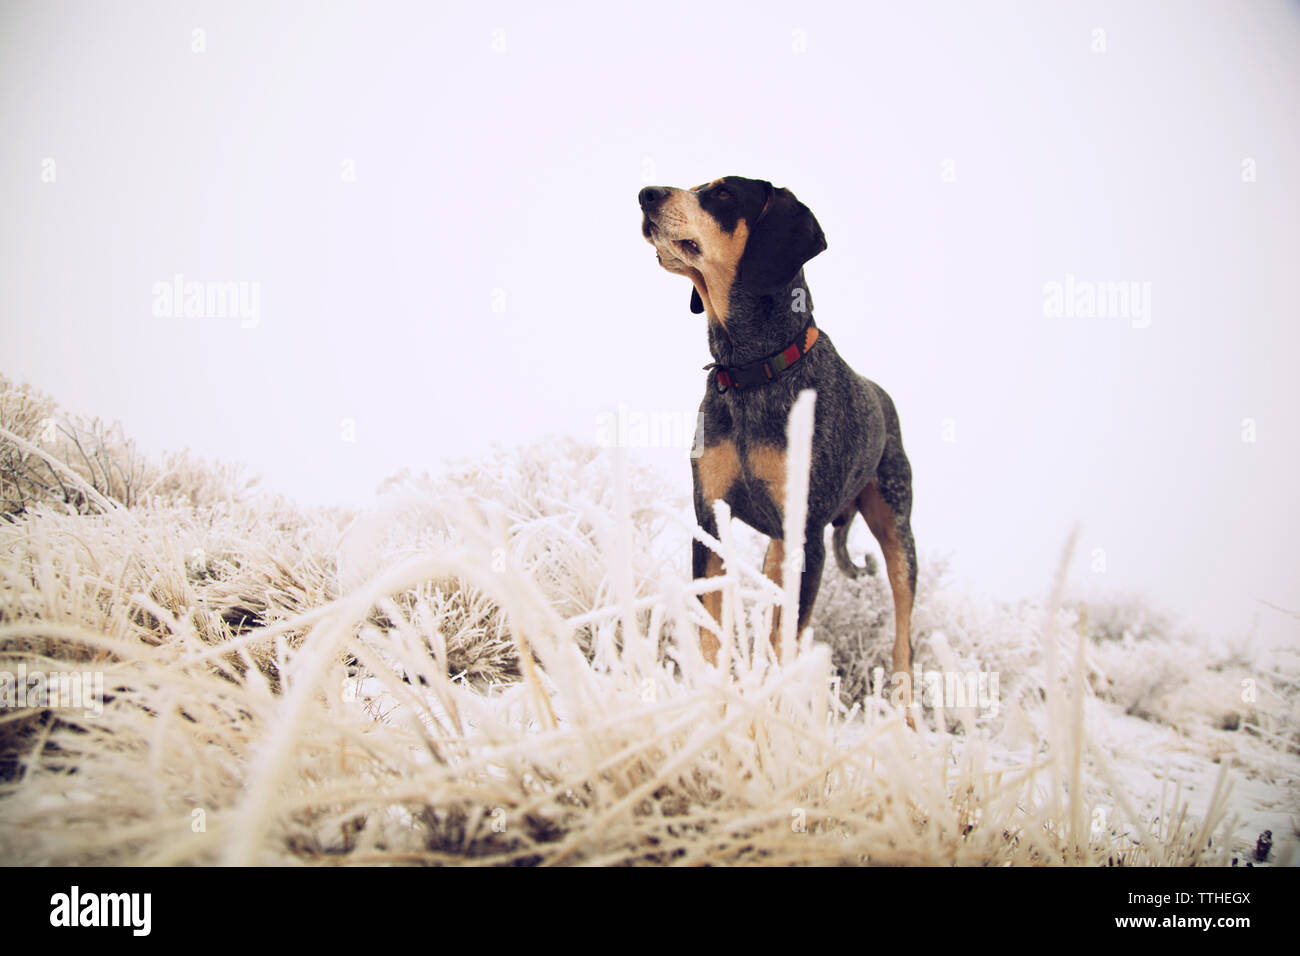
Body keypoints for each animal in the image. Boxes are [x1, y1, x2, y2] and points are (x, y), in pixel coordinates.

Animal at [637, 175, 920, 723]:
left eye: (722, 193)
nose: (646, 194)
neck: (754, 371)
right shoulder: (710, 521)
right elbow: (712, 635)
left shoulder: (807, 536)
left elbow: (784, 640)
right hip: (777, 550)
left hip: (897, 528)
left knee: (904, 634)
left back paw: (907, 714)